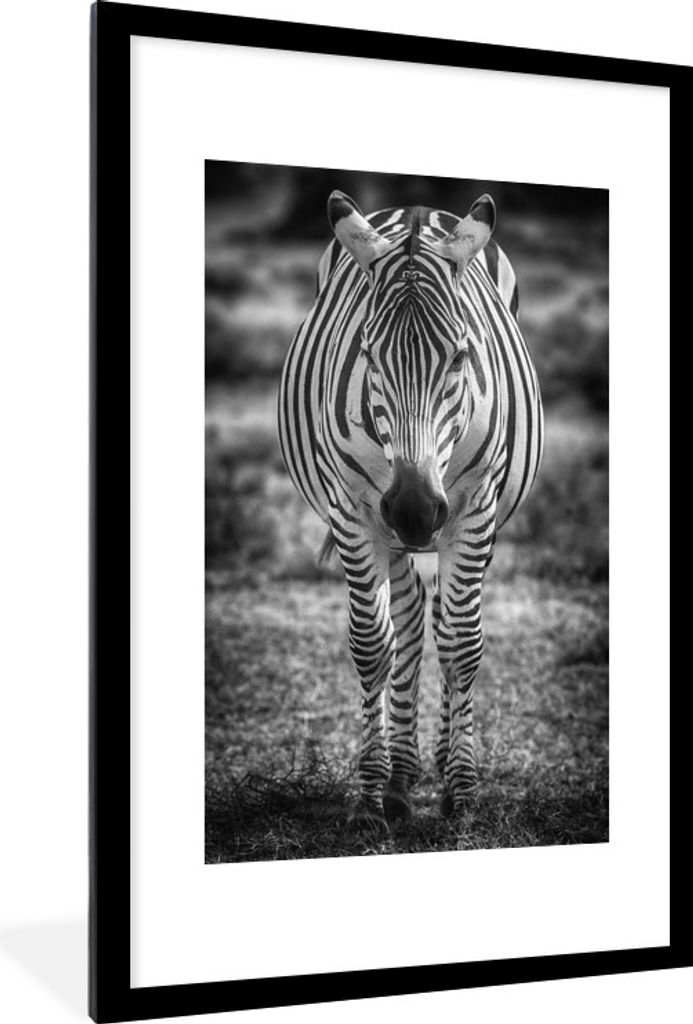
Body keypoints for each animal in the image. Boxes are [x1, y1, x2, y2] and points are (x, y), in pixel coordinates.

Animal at [278, 190, 543, 831]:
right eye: (369, 355)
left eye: (461, 357)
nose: (417, 511)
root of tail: (418, 210)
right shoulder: (354, 509)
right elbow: (374, 643)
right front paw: (373, 796)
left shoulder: (474, 508)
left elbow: (464, 644)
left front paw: (463, 793)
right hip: (383, 526)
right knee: (412, 615)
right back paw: (401, 775)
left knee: (445, 619)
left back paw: (443, 759)